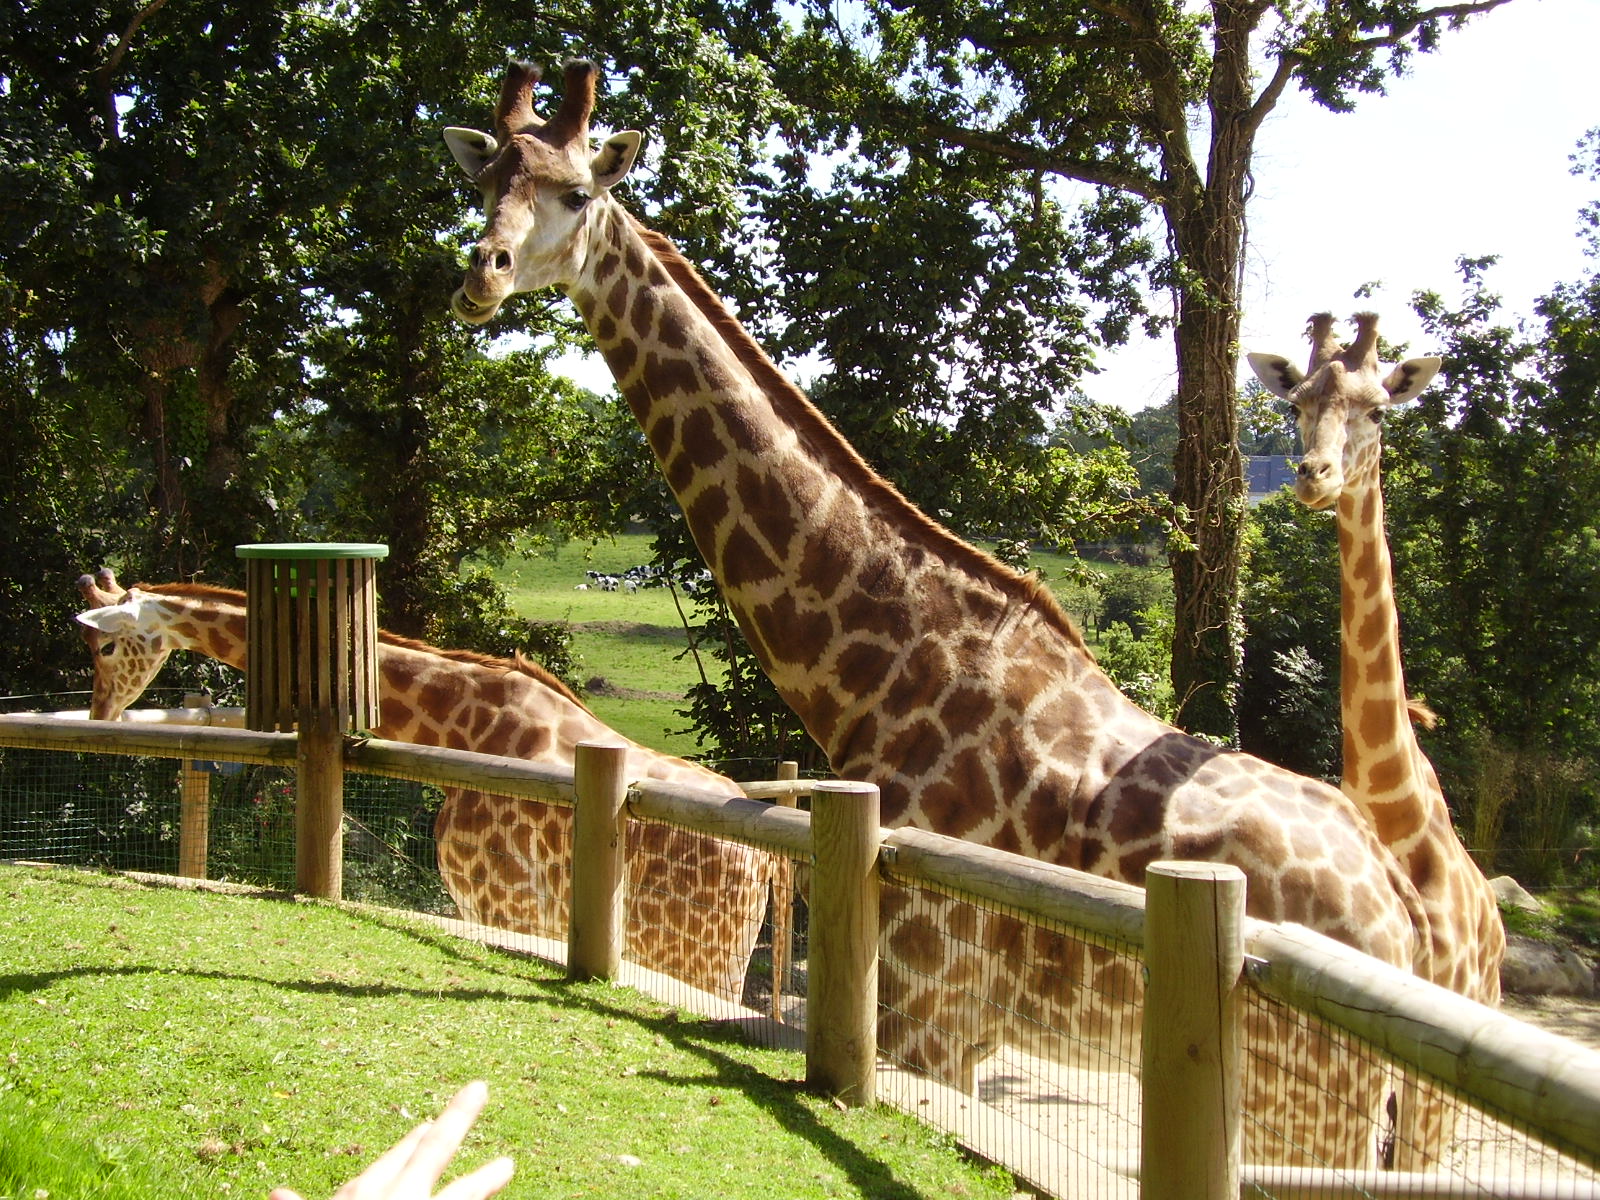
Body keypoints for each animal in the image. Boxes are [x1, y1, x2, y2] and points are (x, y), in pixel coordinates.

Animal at [73, 569, 772, 1004]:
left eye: (104, 647)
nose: (99, 714)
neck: (468, 728)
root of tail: (762, 861)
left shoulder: (505, 903)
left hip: (697, 953)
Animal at [441, 60, 1435, 1165]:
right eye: (486, 177)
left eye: (576, 193)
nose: (480, 273)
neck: (881, 671)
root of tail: (1400, 916)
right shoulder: (944, 1022)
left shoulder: (931, 1004)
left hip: (1308, 1108)